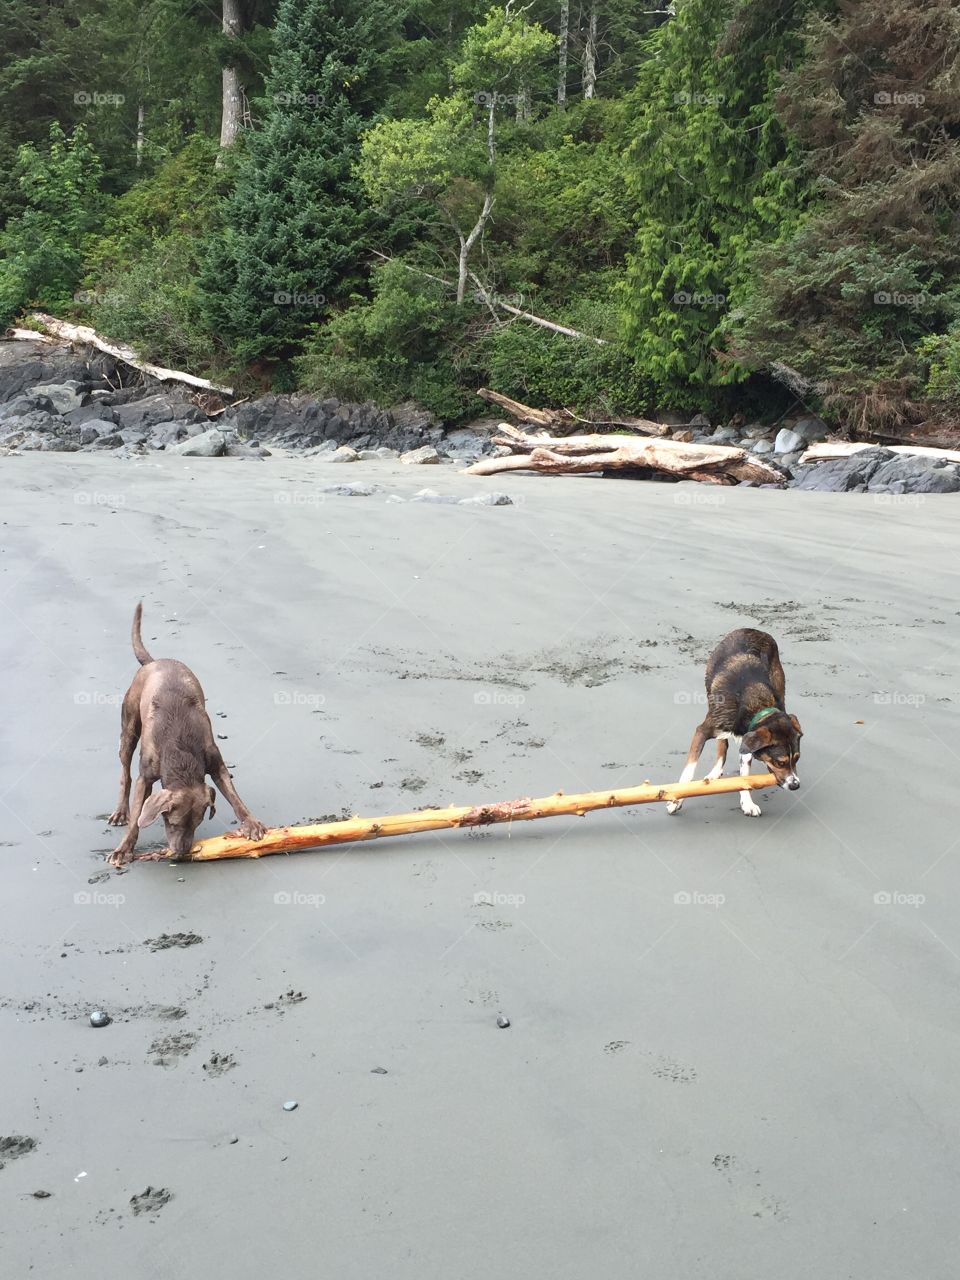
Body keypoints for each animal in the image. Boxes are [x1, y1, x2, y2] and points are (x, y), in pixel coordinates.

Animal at [108, 601, 267, 865]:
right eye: (172, 823)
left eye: (197, 823)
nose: (181, 853)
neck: (181, 750)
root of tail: (153, 662)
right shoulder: (146, 777)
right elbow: (137, 814)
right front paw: (124, 848)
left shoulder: (215, 762)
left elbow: (234, 796)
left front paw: (251, 823)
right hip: (128, 727)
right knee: (125, 772)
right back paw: (121, 810)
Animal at [665, 629, 798, 819]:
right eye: (780, 763)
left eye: (797, 758)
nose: (795, 785)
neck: (757, 707)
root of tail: (752, 630)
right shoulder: (702, 731)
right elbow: (689, 771)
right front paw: (676, 800)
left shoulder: (747, 742)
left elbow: (744, 776)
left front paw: (747, 803)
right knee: (722, 743)